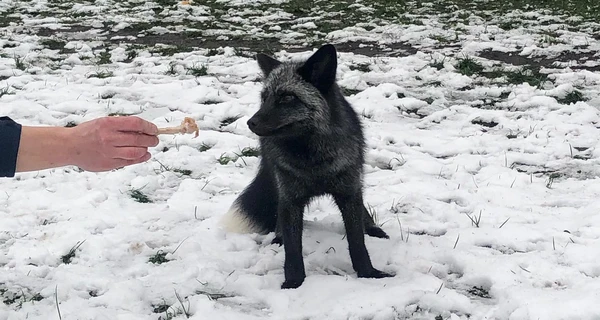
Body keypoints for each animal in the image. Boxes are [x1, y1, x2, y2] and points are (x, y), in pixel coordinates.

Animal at [220, 43, 394, 288]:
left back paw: (372, 228)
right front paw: (294, 282)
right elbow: (293, 249)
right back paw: (278, 237)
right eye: (264, 98)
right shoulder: (290, 199)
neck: (313, 161)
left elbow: (357, 242)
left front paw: (368, 273)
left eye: (287, 97)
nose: (250, 122)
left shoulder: (348, 192)